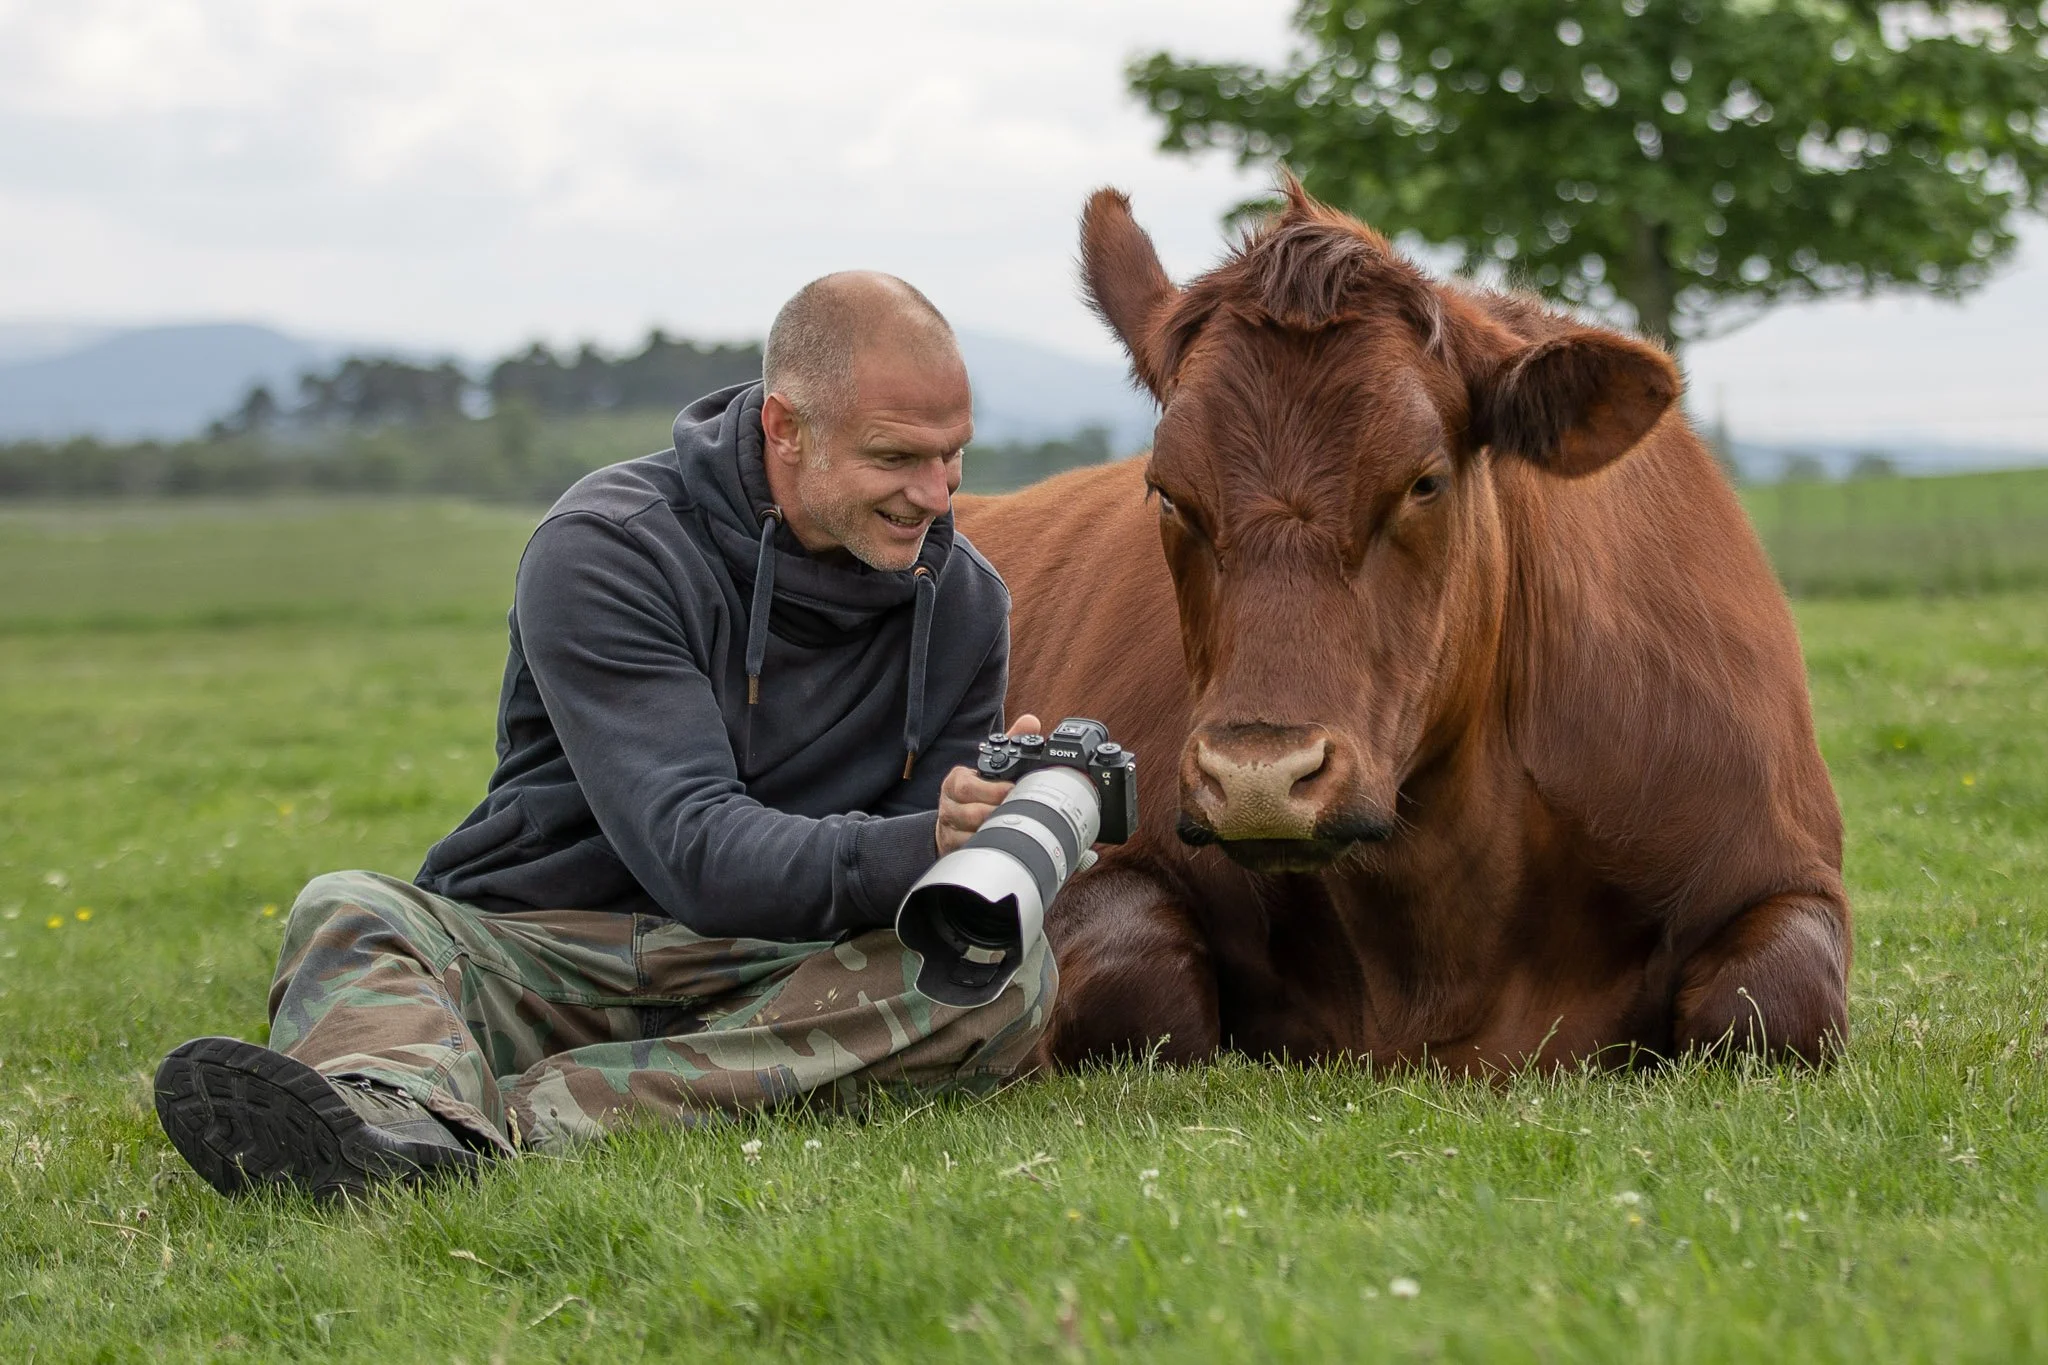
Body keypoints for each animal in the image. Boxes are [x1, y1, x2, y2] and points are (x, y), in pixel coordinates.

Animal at [954, 181, 1850, 1075]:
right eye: (1169, 492)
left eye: (1424, 482)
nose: (1257, 779)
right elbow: (1135, 984)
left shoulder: (1781, 867)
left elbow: (1776, 1003)